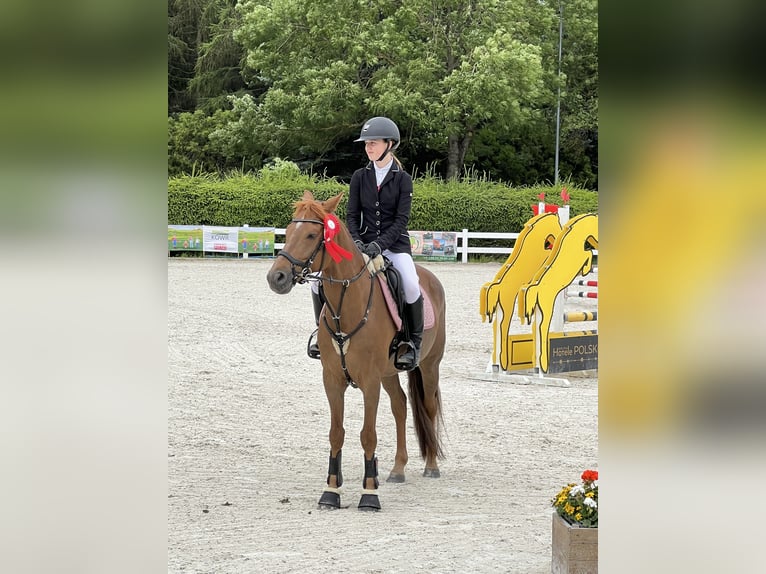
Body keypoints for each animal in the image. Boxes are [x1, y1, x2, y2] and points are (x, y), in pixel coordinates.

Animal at [266, 190, 447, 511]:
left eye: (312, 234)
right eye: (287, 231)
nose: (277, 278)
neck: (347, 307)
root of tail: (429, 277)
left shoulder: (370, 382)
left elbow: (368, 435)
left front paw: (369, 494)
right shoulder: (332, 380)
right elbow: (336, 434)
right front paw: (331, 490)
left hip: (429, 365)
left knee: (427, 407)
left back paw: (431, 466)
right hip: (389, 372)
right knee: (400, 406)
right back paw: (398, 469)